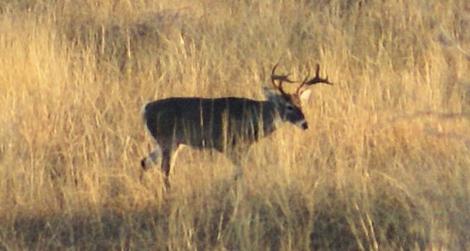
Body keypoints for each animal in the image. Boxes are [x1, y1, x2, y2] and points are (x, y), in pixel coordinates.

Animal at [139, 63, 330, 187]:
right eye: (288, 106)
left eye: (301, 104)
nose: (305, 124)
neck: (254, 117)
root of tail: (146, 108)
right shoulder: (229, 144)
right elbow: (240, 172)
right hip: (167, 140)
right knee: (164, 171)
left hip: (171, 143)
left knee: (144, 162)